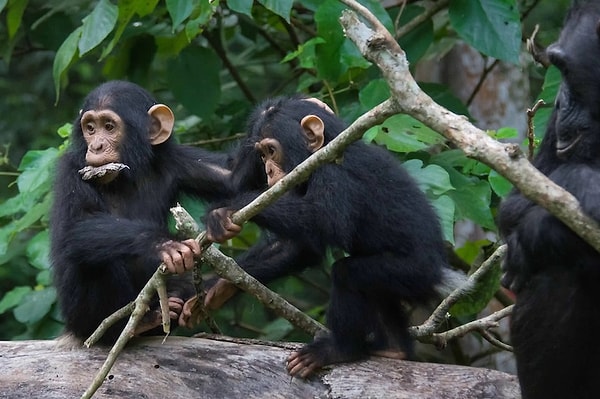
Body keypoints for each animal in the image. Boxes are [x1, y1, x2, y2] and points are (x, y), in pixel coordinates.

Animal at [51, 80, 232, 344]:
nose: (96, 146)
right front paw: (162, 243)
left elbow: (235, 176)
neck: (127, 175)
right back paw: (137, 324)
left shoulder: (178, 160)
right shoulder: (70, 170)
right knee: (93, 256)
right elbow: (72, 228)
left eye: (109, 126)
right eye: (90, 128)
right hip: (80, 321)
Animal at [204, 96, 458, 378]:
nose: (268, 171)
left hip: (411, 272)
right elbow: (301, 246)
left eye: (271, 151)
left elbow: (322, 221)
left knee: (348, 274)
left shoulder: (334, 172)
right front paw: (218, 285)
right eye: (261, 155)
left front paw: (229, 208)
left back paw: (339, 349)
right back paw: (394, 350)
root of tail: (439, 270)